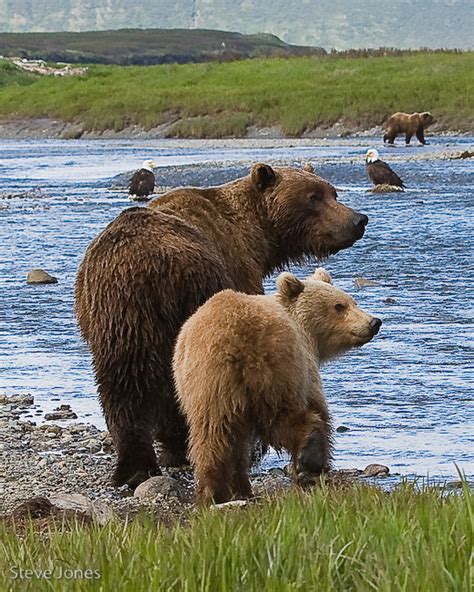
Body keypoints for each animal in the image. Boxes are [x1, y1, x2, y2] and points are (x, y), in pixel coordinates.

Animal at [76, 163, 368, 490]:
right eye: (313, 197)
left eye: (332, 192)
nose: (358, 220)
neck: (255, 236)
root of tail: (149, 266)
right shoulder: (239, 273)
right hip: (183, 299)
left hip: (116, 318)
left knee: (122, 384)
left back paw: (136, 465)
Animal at [174, 268, 382, 504]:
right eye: (339, 306)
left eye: (353, 301)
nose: (374, 322)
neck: (308, 334)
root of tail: (237, 337)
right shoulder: (307, 367)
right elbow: (318, 405)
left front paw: (240, 486)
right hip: (280, 371)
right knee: (284, 417)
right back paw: (311, 454)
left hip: (208, 386)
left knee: (212, 436)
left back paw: (212, 491)